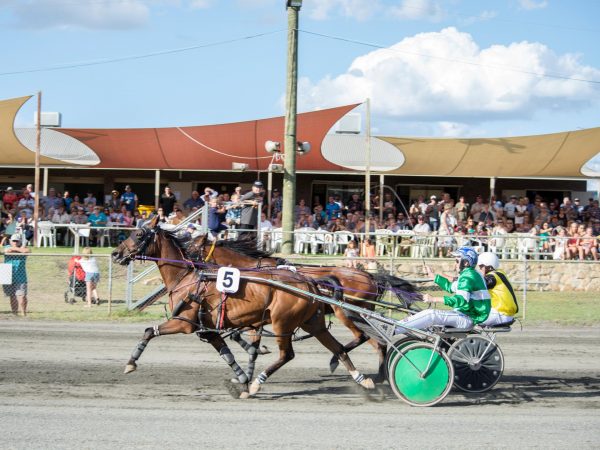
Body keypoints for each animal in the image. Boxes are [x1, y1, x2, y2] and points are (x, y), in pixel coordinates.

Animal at [110, 218, 372, 398]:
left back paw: (258, 383)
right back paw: (362, 379)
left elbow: (149, 331)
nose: (115, 253)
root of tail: (308, 282)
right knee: (338, 347)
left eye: (139, 234)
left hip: (286, 321)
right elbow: (229, 353)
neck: (187, 278)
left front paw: (131, 363)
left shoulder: (183, 323)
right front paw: (241, 377)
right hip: (313, 322)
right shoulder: (211, 329)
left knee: (289, 354)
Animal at [189, 234, 422, 382]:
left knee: (366, 338)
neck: (254, 272)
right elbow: (243, 338)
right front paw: (252, 360)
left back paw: (346, 364)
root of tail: (370, 277)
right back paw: (375, 372)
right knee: (374, 341)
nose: (189, 266)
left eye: (191, 248)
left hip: (346, 312)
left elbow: (242, 336)